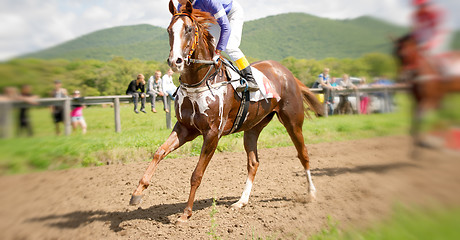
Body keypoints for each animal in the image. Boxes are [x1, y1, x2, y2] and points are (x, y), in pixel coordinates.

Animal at [129, 0, 324, 224]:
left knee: (303, 154)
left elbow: (196, 174)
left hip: (292, 121)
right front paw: (137, 192)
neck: (201, 80)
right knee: (253, 163)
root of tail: (286, 73)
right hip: (253, 127)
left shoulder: (212, 134)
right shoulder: (185, 128)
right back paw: (241, 201)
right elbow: (159, 152)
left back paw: (311, 193)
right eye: (169, 30)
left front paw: (186, 213)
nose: (175, 61)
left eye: (188, 29)